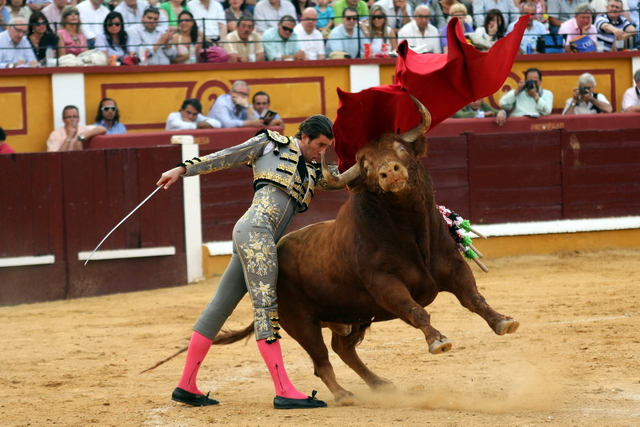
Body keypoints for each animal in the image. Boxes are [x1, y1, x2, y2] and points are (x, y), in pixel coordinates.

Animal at [216, 97, 520, 404]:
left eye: (400, 148)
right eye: (366, 166)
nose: (389, 172)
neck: (411, 231)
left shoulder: (453, 266)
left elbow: (473, 297)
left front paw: (503, 321)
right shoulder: (384, 284)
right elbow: (416, 311)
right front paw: (438, 341)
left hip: (354, 314)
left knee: (342, 348)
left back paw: (379, 383)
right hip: (301, 320)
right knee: (321, 358)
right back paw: (342, 395)